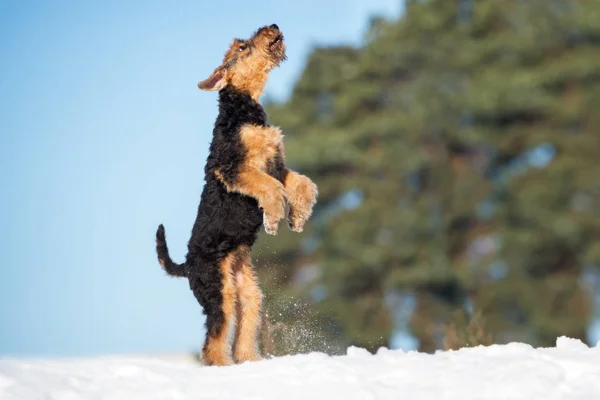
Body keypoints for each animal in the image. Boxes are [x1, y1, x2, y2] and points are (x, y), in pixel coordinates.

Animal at [154, 24, 318, 366]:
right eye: (241, 48)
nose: (273, 27)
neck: (241, 109)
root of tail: (186, 265)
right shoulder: (234, 170)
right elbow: (271, 189)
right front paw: (274, 218)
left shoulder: (277, 165)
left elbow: (303, 184)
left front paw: (297, 218)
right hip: (220, 293)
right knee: (213, 341)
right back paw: (223, 365)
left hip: (249, 292)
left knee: (243, 331)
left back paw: (250, 360)